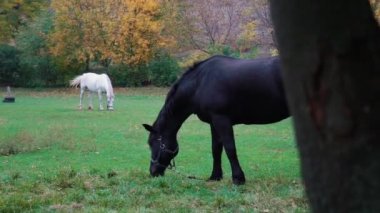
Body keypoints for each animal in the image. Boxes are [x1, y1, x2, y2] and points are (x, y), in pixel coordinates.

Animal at [144, 55, 290, 185]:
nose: (153, 172)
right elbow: (216, 149)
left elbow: (230, 148)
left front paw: (238, 178)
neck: (200, 83)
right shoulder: (213, 123)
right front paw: (215, 176)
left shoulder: (222, 120)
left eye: (154, 142)